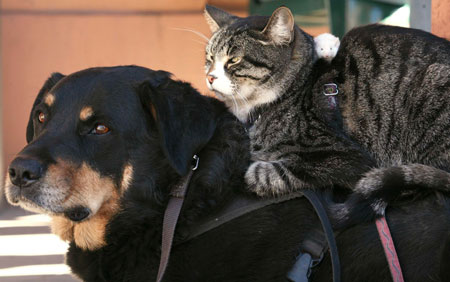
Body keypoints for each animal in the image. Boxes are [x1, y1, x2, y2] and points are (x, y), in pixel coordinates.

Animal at [204, 4, 450, 216]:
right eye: (210, 58)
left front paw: (251, 170)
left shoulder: (344, 156)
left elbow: (268, 173)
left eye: (234, 60)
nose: (209, 77)